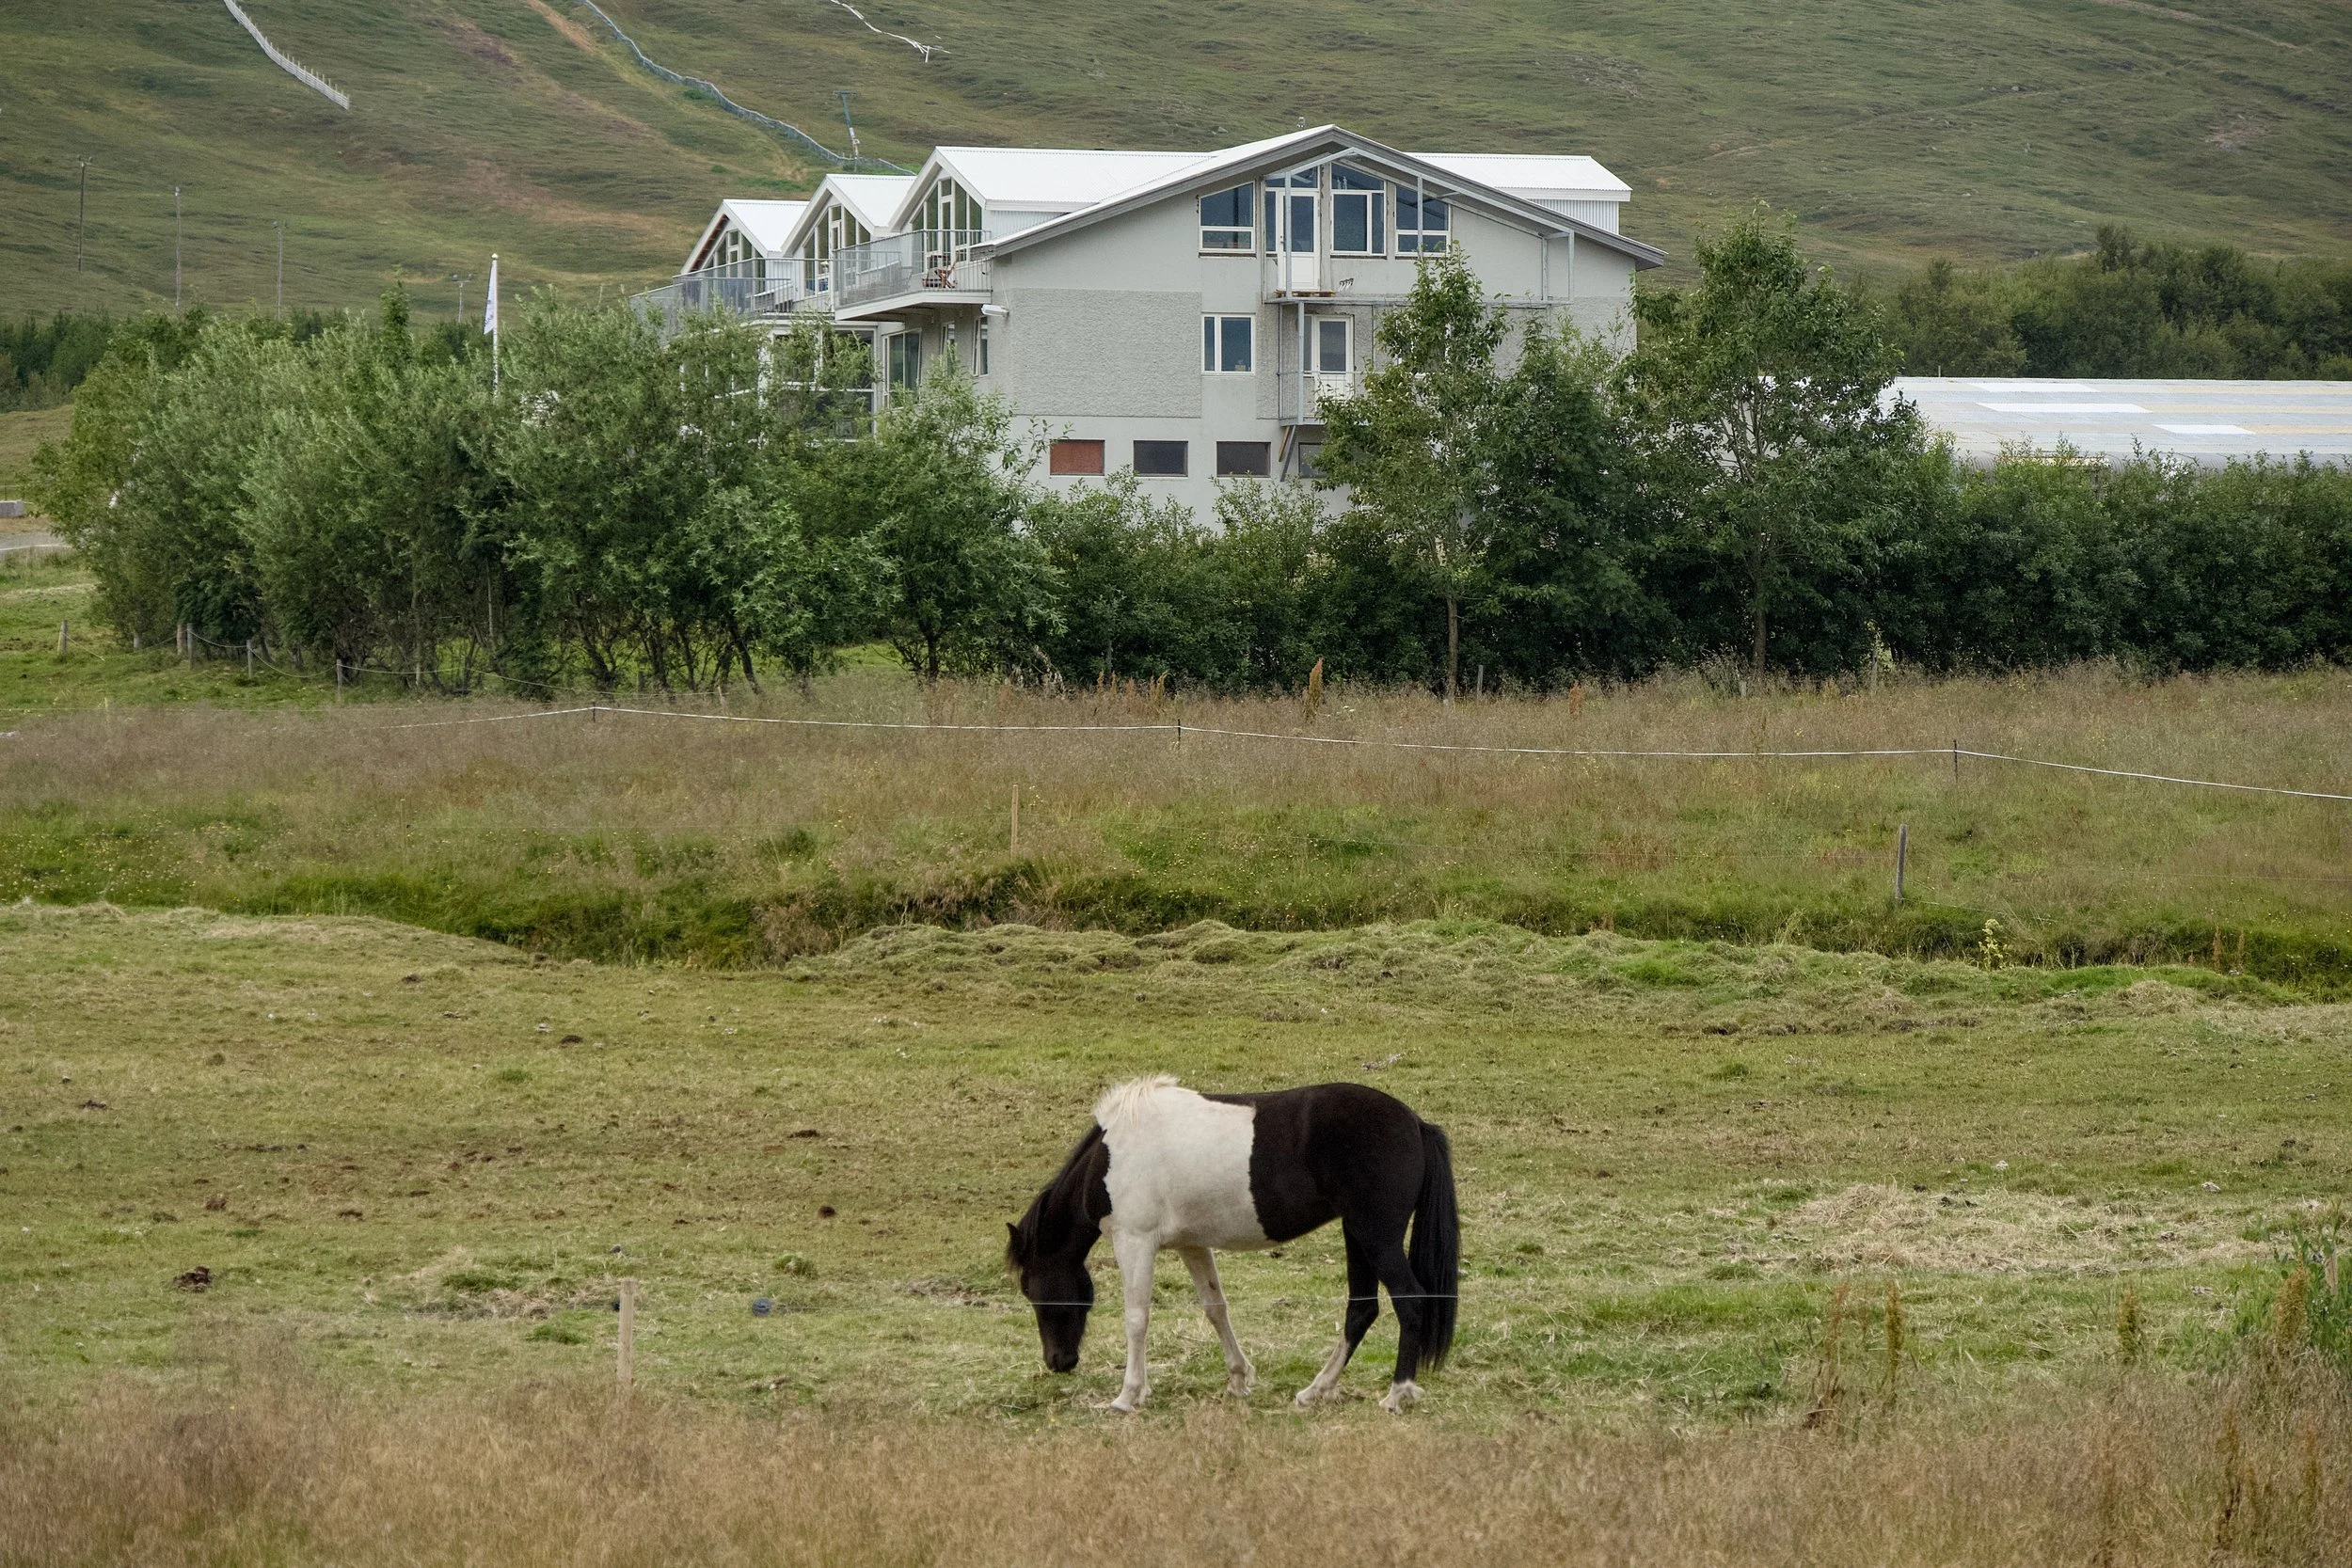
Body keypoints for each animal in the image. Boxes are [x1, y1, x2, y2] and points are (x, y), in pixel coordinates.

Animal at [1005, 1075, 1458, 1413]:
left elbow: (1136, 1319)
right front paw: (1239, 1379)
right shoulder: (1192, 1245)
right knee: (1362, 1310)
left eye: (1031, 1288)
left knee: (1410, 1301)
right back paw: (1316, 1390)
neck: (1112, 1154)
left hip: (1375, 1236)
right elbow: (1215, 1308)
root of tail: (1415, 1124)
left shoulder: (1135, 1242)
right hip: (1357, 1234)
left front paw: (1128, 1396)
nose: (1058, 1362)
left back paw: (1397, 1394)